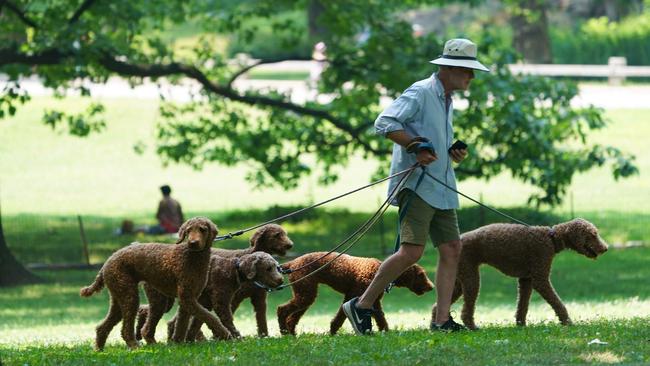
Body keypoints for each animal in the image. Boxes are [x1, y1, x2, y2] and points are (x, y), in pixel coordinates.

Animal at [80, 216, 229, 350]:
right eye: (188, 231)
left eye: (203, 229)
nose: (192, 243)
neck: (192, 256)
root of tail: (107, 262)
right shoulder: (187, 297)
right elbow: (209, 317)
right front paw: (225, 334)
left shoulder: (188, 299)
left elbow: (182, 323)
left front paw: (178, 343)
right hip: (130, 296)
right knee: (126, 329)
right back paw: (135, 346)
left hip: (121, 297)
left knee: (103, 327)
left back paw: (99, 350)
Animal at [135, 223, 292, 344]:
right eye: (277, 235)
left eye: (285, 233)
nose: (290, 245)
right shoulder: (231, 298)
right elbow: (226, 319)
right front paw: (225, 336)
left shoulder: (259, 298)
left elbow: (261, 320)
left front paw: (264, 337)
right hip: (162, 298)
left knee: (162, 316)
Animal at [276, 252, 432, 334]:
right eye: (421, 275)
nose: (431, 287)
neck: (378, 271)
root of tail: (292, 263)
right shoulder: (354, 297)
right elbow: (341, 317)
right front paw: (333, 333)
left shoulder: (372, 302)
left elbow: (381, 319)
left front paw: (386, 333)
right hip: (305, 293)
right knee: (281, 310)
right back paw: (283, 331)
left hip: (305, 295)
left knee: (292, 318)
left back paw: (291, 334)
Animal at [430, 219, 608, 330]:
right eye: (593, 235)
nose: (605, 248)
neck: (551, 239)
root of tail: (458, 239)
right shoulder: (540, 278)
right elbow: (557, 303)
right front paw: (567, 322)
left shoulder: (526, 280)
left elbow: (523, 305)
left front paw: (520, 324)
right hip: (471, 278)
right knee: (466, 310)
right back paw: (472, 327)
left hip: (460, 280)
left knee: (438, 304)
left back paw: (435, 326)